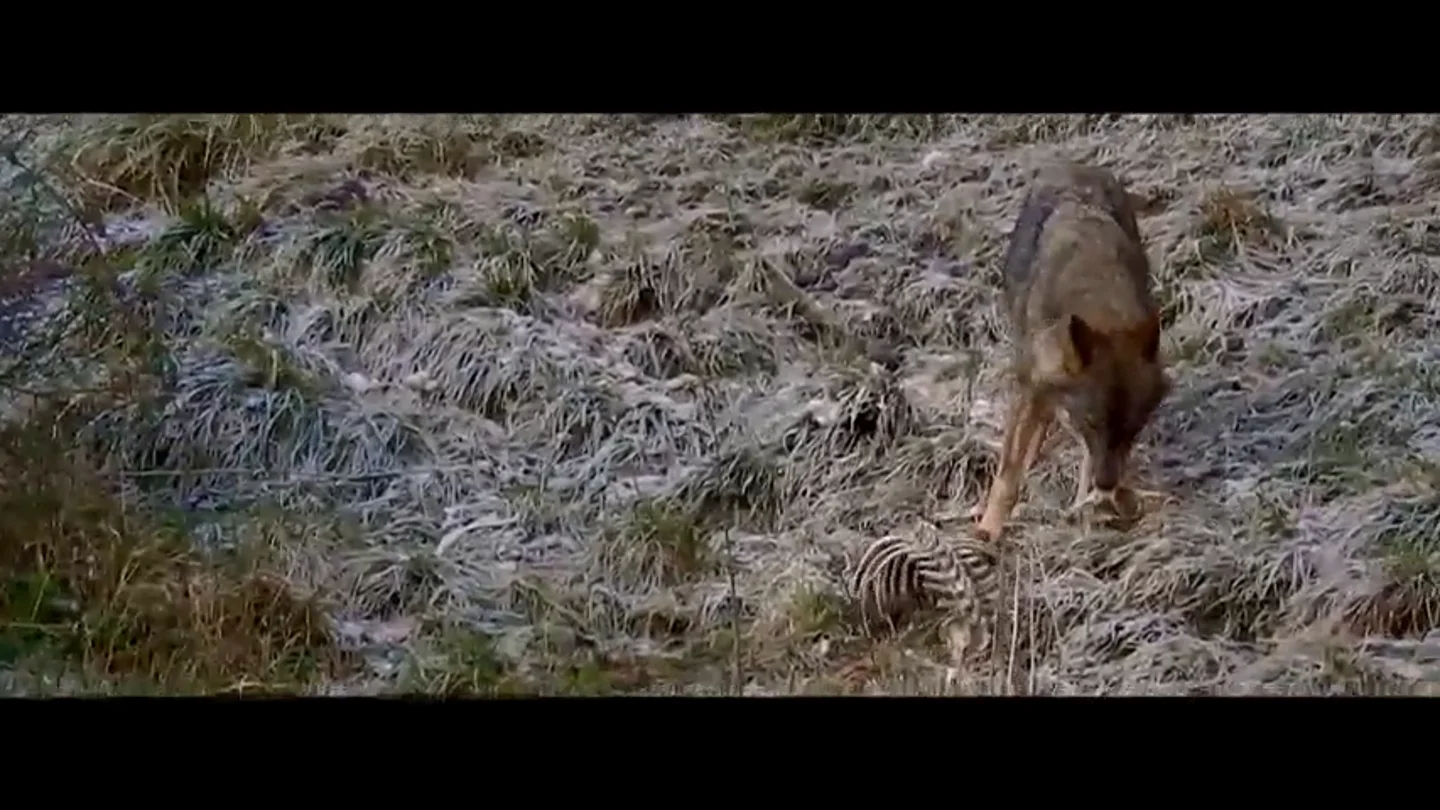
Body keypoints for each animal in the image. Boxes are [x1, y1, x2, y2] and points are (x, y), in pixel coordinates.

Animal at [971, 161, 1171, 542]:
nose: (1105, 485)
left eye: (1133, 428)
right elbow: (1008, 474)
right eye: (1092, 422)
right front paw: (988, 531)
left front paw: (1100, 503)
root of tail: (1077, 165)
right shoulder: (1030, 386)